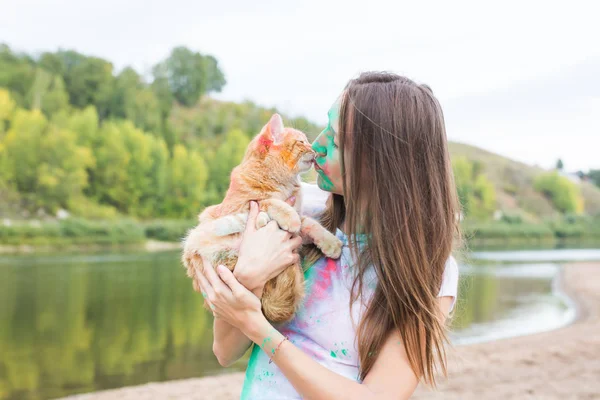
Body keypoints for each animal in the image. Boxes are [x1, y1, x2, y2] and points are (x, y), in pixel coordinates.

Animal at [182, 112, 342, 322]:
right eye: (302, 142)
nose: (314, 151)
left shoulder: (301, 224)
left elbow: (311, 225)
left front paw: (331, 243)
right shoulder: (242, 206)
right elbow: (268, 202)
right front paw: (286, 216)